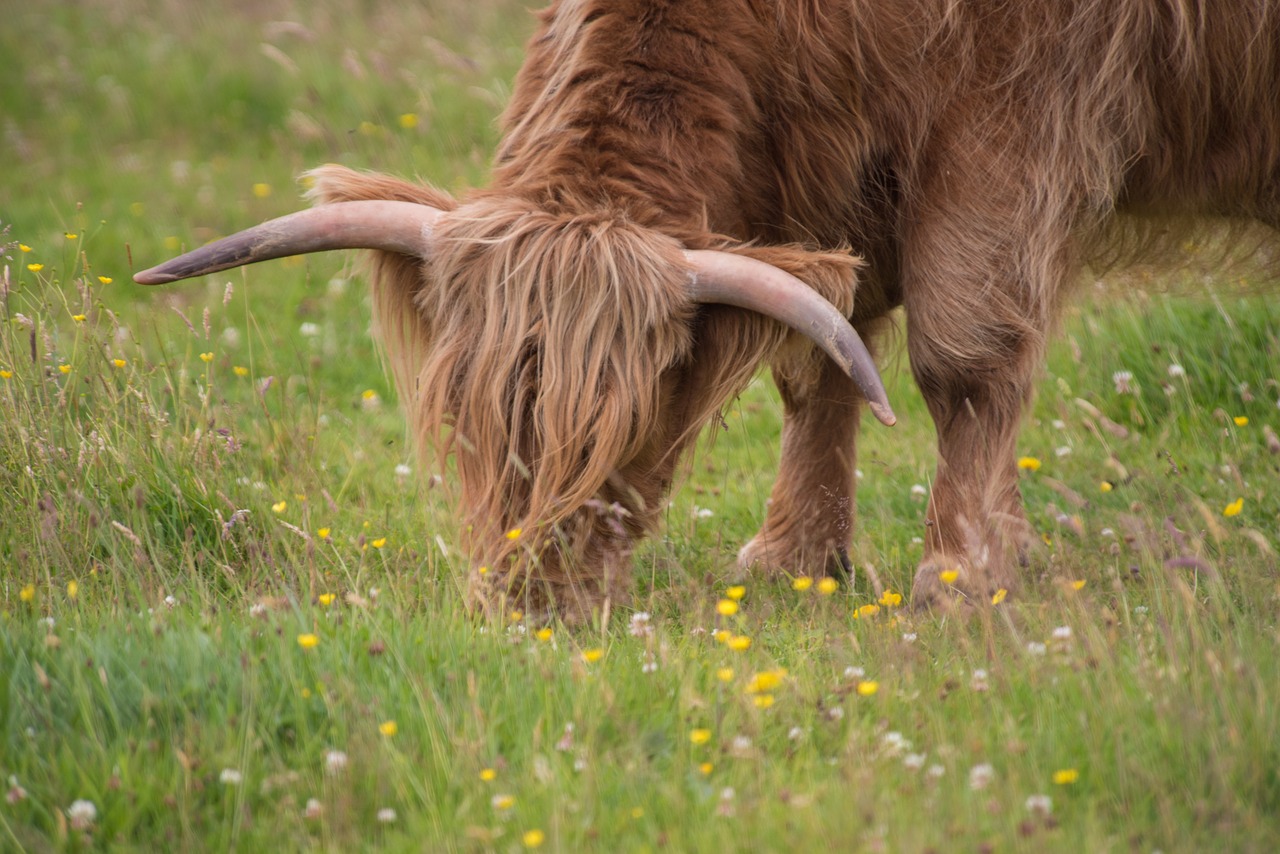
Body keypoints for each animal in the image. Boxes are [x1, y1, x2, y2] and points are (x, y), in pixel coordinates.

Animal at [132, 0, 1280, 622]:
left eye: (633, 417)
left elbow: (961, 356)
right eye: (460, 416)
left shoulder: (1012, 120)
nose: (531, 597)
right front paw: (796, 558)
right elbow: (821, 358)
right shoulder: (827, 161)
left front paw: (960, 574)